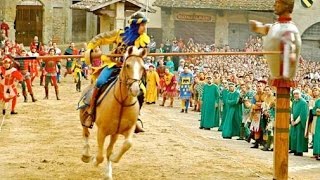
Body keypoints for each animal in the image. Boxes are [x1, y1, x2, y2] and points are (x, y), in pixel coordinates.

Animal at [79, 45, 147, 179]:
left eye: (142, 67)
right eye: (128, 65)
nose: (135, 90)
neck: (122, 103)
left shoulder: (127, 129)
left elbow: (127, 144)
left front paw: (114, 160)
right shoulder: (102, 131)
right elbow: (100, 156)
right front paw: (95, 161)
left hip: (114, 134)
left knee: (108, 149)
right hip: (83, 118)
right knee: (86, 133)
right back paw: (86, 155)